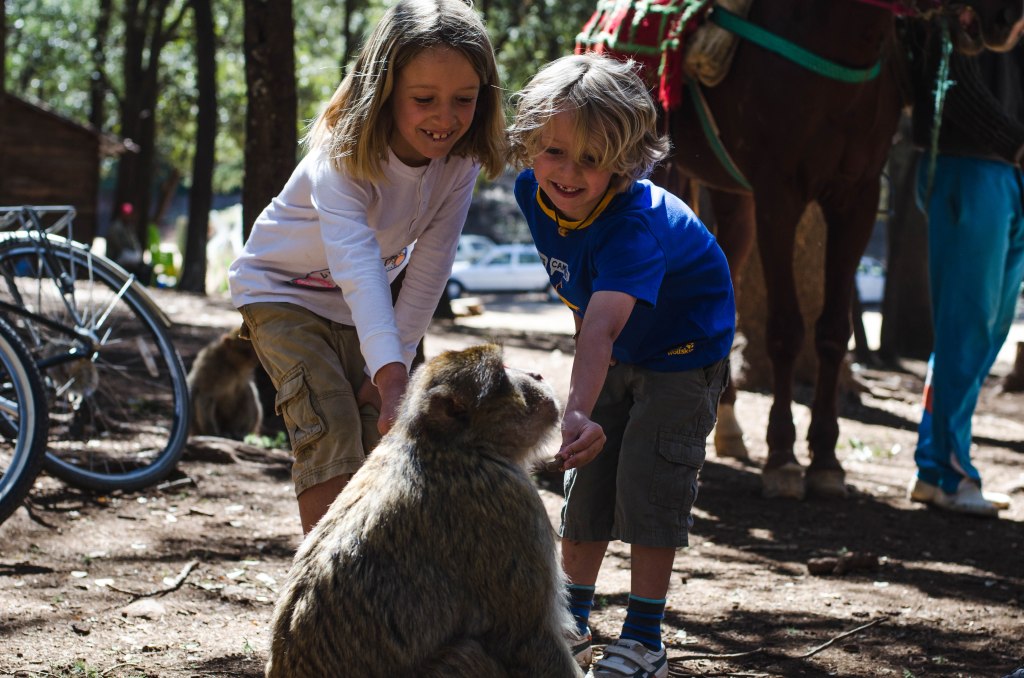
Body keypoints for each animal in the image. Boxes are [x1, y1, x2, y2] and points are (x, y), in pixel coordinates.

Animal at [265, 343, 583, 678]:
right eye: (502, 375)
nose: (536, 374)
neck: (447, 444)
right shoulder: (509, 504)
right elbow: (526, 638)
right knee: (470, 655)